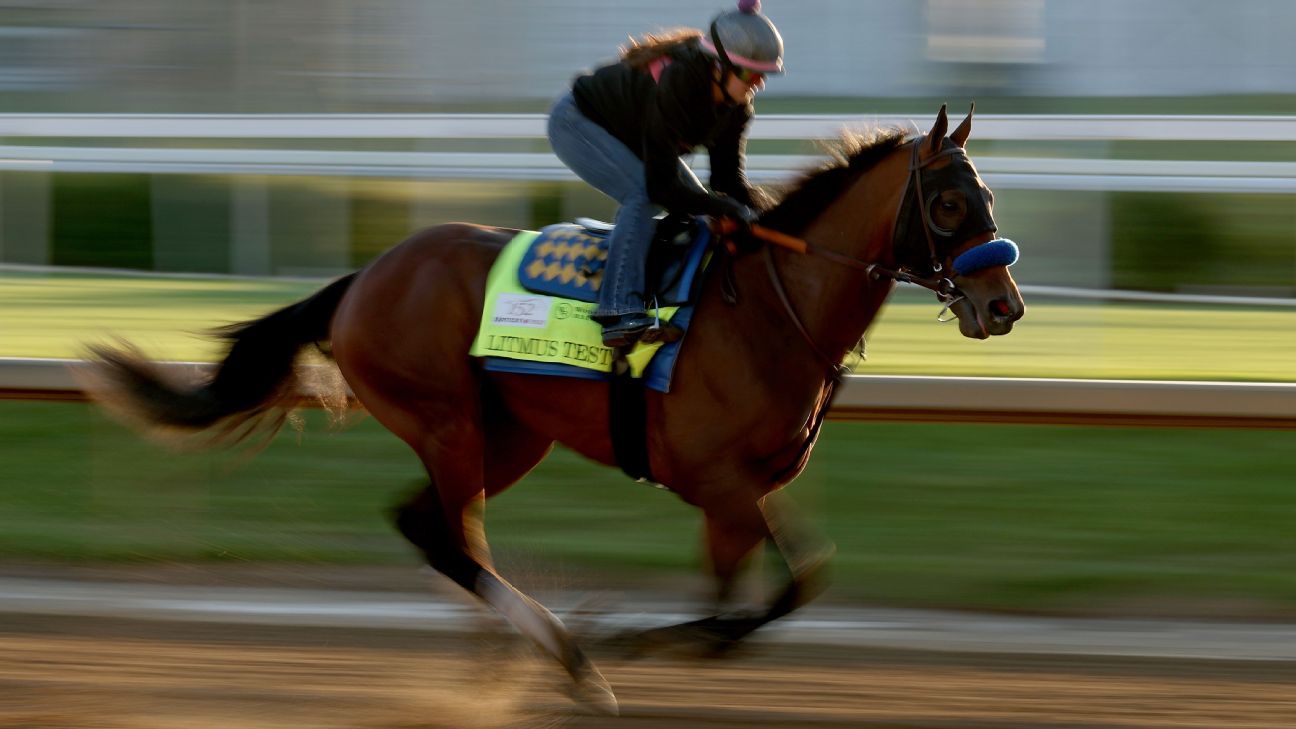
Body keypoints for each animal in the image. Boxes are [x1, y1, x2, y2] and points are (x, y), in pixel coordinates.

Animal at [85, 104, 1024, 714]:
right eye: (948, 203)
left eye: (989, 198)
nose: (1003, 304)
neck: (769, 304)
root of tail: (365, 275)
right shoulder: (717, 483)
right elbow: (749, 598)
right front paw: (625, 639)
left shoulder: (750, 484)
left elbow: (790, 583)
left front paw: (669, 638)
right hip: (449, 420)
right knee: (451, 538)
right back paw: (564, 655)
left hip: (508, 435)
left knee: (432, 526)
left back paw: (525, 656)